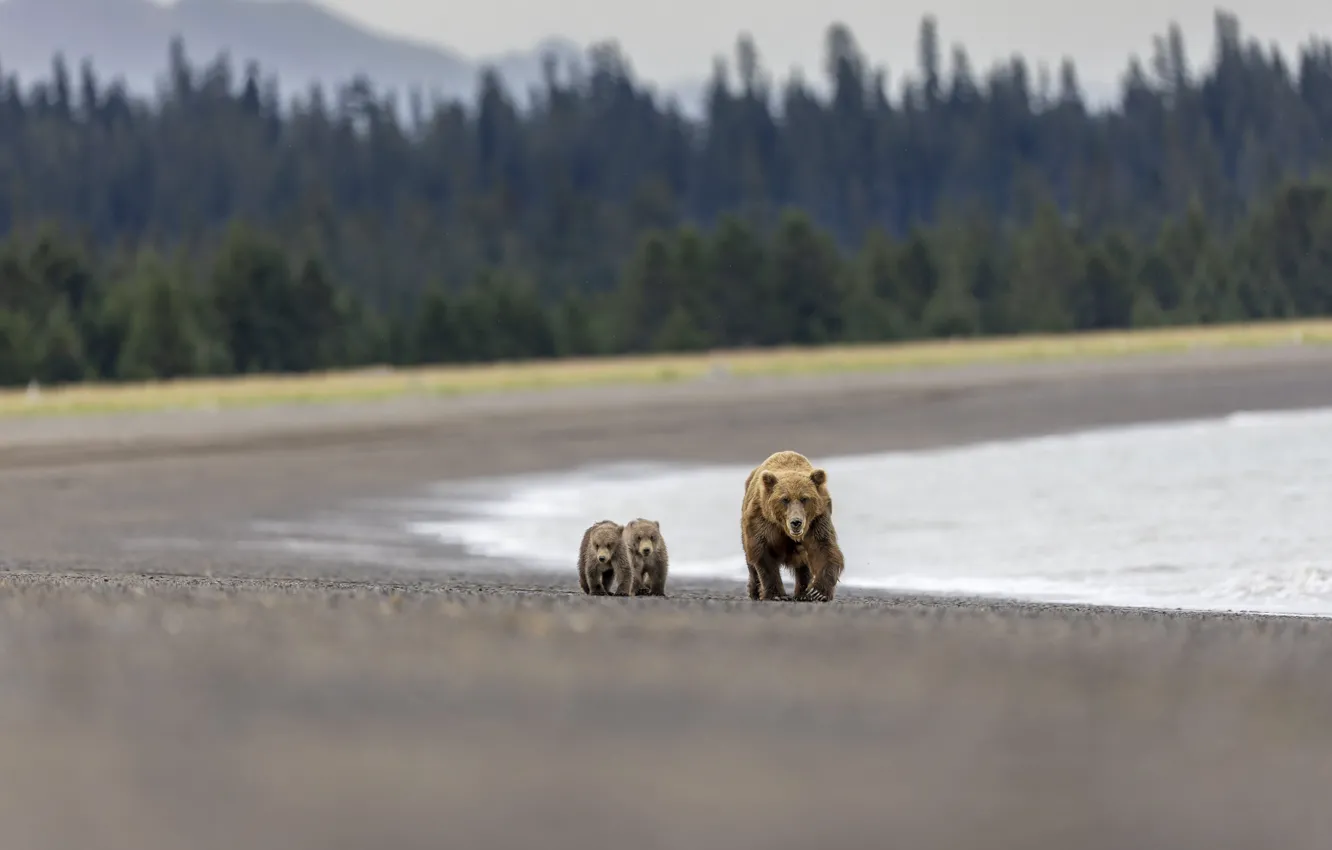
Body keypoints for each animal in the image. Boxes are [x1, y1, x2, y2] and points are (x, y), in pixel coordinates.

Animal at [739, 450, 844, 602]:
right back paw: (754, 591)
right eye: (785, 499)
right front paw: (776, 594)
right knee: (750, 561)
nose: (796, 522)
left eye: (804, 498)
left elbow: (824, 548)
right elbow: (763, 553)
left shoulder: (817, 520)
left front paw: (818, 592)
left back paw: (803, 593)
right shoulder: (762, 520)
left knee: (804, 564)